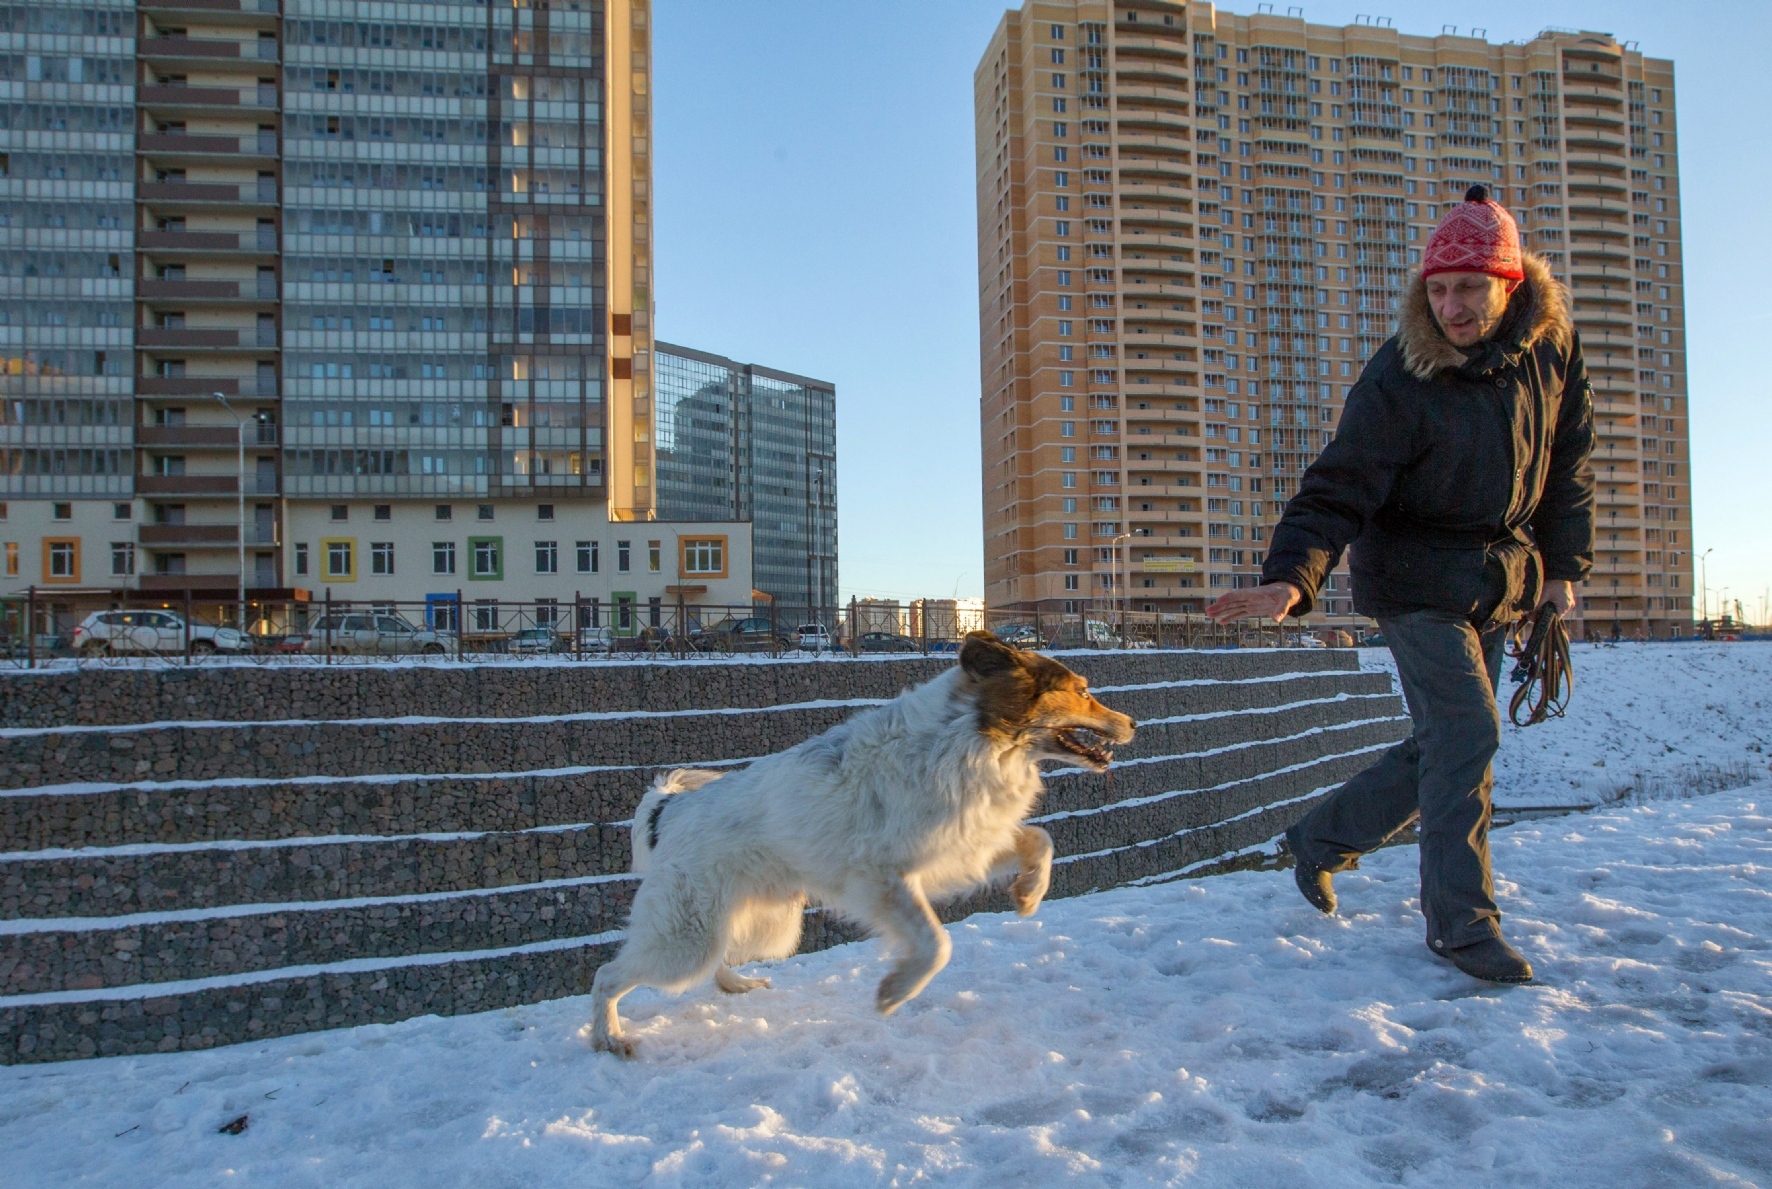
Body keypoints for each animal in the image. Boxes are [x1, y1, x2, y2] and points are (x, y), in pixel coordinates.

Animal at [581, 630, 1134, 1063]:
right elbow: (937, 944)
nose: (1133, 723)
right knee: (608, 974)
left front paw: (1029, 893)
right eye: (1083, 692)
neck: (971, 734)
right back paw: (609, 1038)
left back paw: (735, 985)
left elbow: (1040, 839)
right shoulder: (883, 881)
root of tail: (670, 809)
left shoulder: (964, 846)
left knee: (717, 959)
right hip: (687, 939)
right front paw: (894, 993)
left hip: (761, 926)